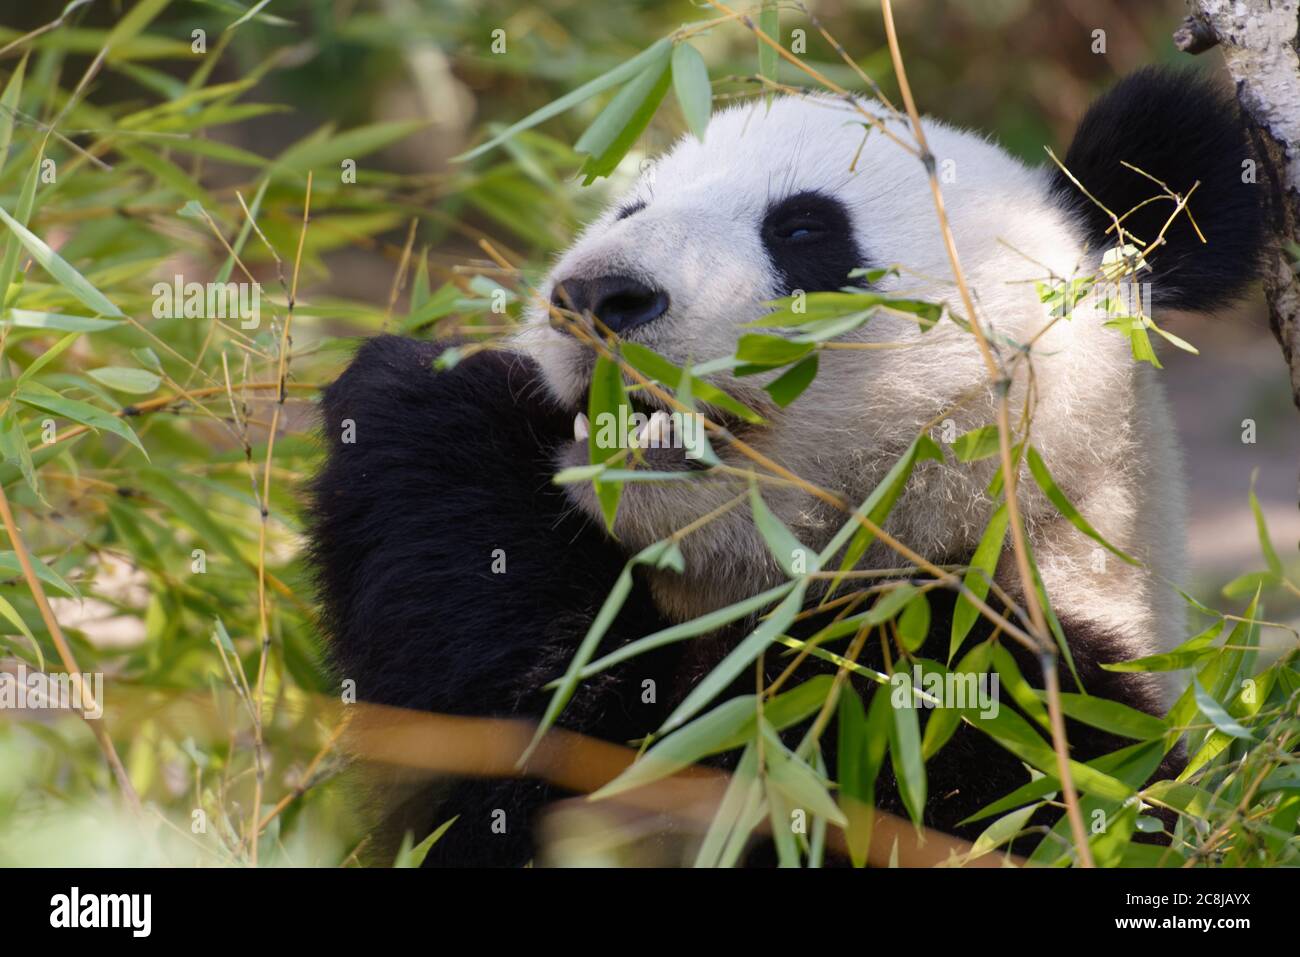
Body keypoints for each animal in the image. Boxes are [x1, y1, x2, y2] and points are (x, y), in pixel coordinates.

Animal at [308, 67, 1264, 867]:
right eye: (629, 210)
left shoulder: (977, 704)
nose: (595, 296)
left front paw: (438, 402)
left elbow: (575, 773)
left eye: (804, 229)